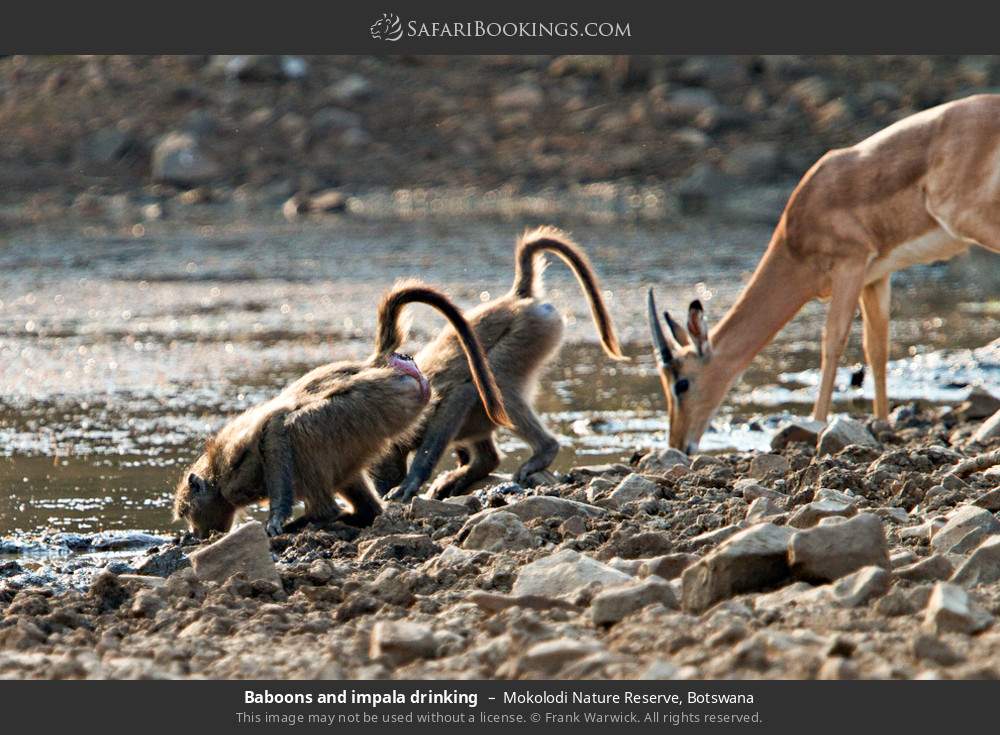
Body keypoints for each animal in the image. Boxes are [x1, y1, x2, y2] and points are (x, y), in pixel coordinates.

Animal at [648, 93, 1000, 453]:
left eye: (681, 383)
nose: (678, 444)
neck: (795, 236)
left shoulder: (850, 264)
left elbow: (832, 341)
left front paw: (816, 423)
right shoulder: (875, 277)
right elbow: (877, 347)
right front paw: (882, 424)